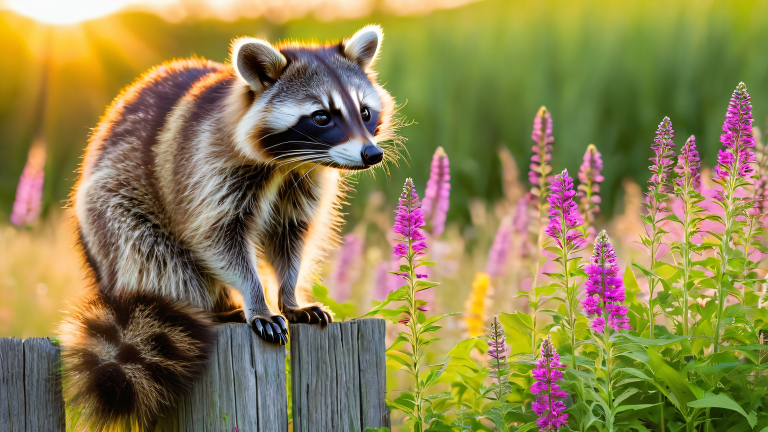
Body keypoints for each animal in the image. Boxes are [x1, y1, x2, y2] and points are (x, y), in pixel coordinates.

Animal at [59, 25, 397, 430]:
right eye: (321, 117)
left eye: (364, 112)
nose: (372, 154)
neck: (284, 164)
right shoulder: (205, 167)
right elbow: (218, 238)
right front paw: (257, 299)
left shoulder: (301, 185)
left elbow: (291, 240)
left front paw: (289, 295)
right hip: (112, 213)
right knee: (155, 259)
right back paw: (211, 309)